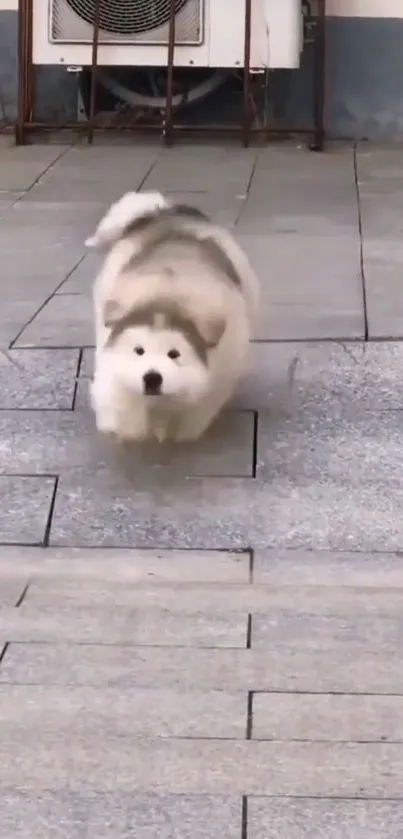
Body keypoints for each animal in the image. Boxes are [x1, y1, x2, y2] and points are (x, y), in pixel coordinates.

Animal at [87, 188, 260, 442]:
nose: (151, 378)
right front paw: (128, 429)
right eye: (139, 350)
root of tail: (164, 211)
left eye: (174, 354)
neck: (166, 297)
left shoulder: (219, 372)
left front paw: (181, 432)